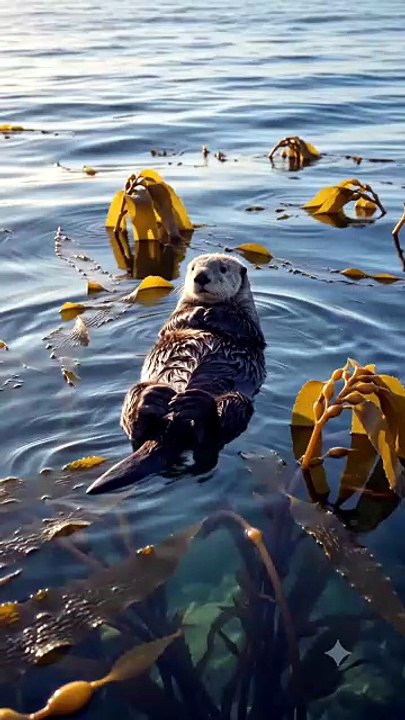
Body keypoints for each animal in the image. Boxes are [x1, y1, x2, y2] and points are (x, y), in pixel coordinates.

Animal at [87, 254, 266, 494]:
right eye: (193, 268)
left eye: (223, 269)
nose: (201, 277)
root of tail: (174, 423)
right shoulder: (173, 319)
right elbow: (173, 322)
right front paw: (196, 312)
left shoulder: (252, 323)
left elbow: (248, 331)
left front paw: (215, 314)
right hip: (137, 391)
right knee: (136, 427)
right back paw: (152, 399)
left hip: (236, 400)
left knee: (213, 432)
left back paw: (196, 406)